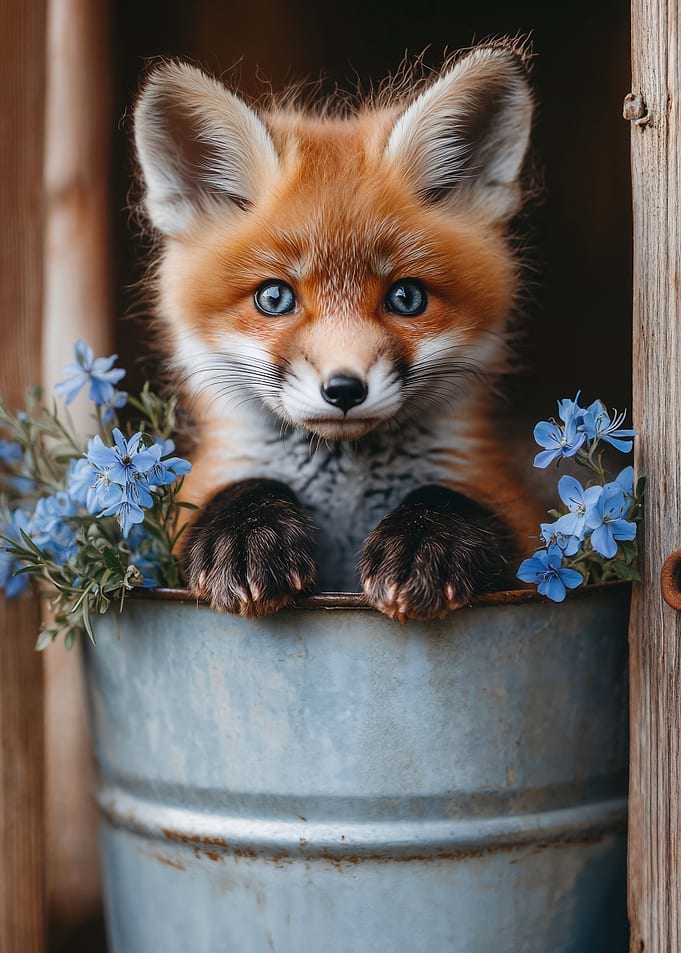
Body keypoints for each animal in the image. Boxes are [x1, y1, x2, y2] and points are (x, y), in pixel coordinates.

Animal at [133, 42, 542, 621]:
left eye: (406, 298)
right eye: (274, 298)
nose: (345, 390)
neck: (344, 482)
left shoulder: (518, 514)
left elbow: (457, 502)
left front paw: (425, 539)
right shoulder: (186, 507)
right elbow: (240, 489)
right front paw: (244, 533)